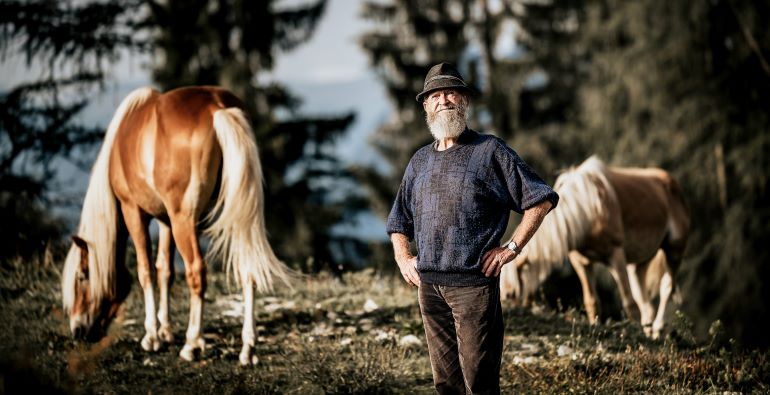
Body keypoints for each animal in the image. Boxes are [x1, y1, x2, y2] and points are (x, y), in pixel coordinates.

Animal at [60, 86, 292, 366]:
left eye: (81, 277)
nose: (77, 330)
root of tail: (217, 108)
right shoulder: (166, 221)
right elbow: (165, 270)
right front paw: (166, 330)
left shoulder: (133, 212)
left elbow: (146, 270)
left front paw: (152, 336)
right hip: (237, 216)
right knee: (248, 271)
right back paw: (248, 348)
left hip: (185, 220)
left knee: (196, 271)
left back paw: (192, 344)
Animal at [500, 156, 688, 338]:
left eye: (511, 294)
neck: (588, 208)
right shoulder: (581, 262)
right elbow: (592, 301)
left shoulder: (616, 255)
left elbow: (629, 302)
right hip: (638, 264)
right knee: (645, 301)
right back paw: (650, 332)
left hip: (674, 250)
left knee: (666, 287)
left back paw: (658, 328)